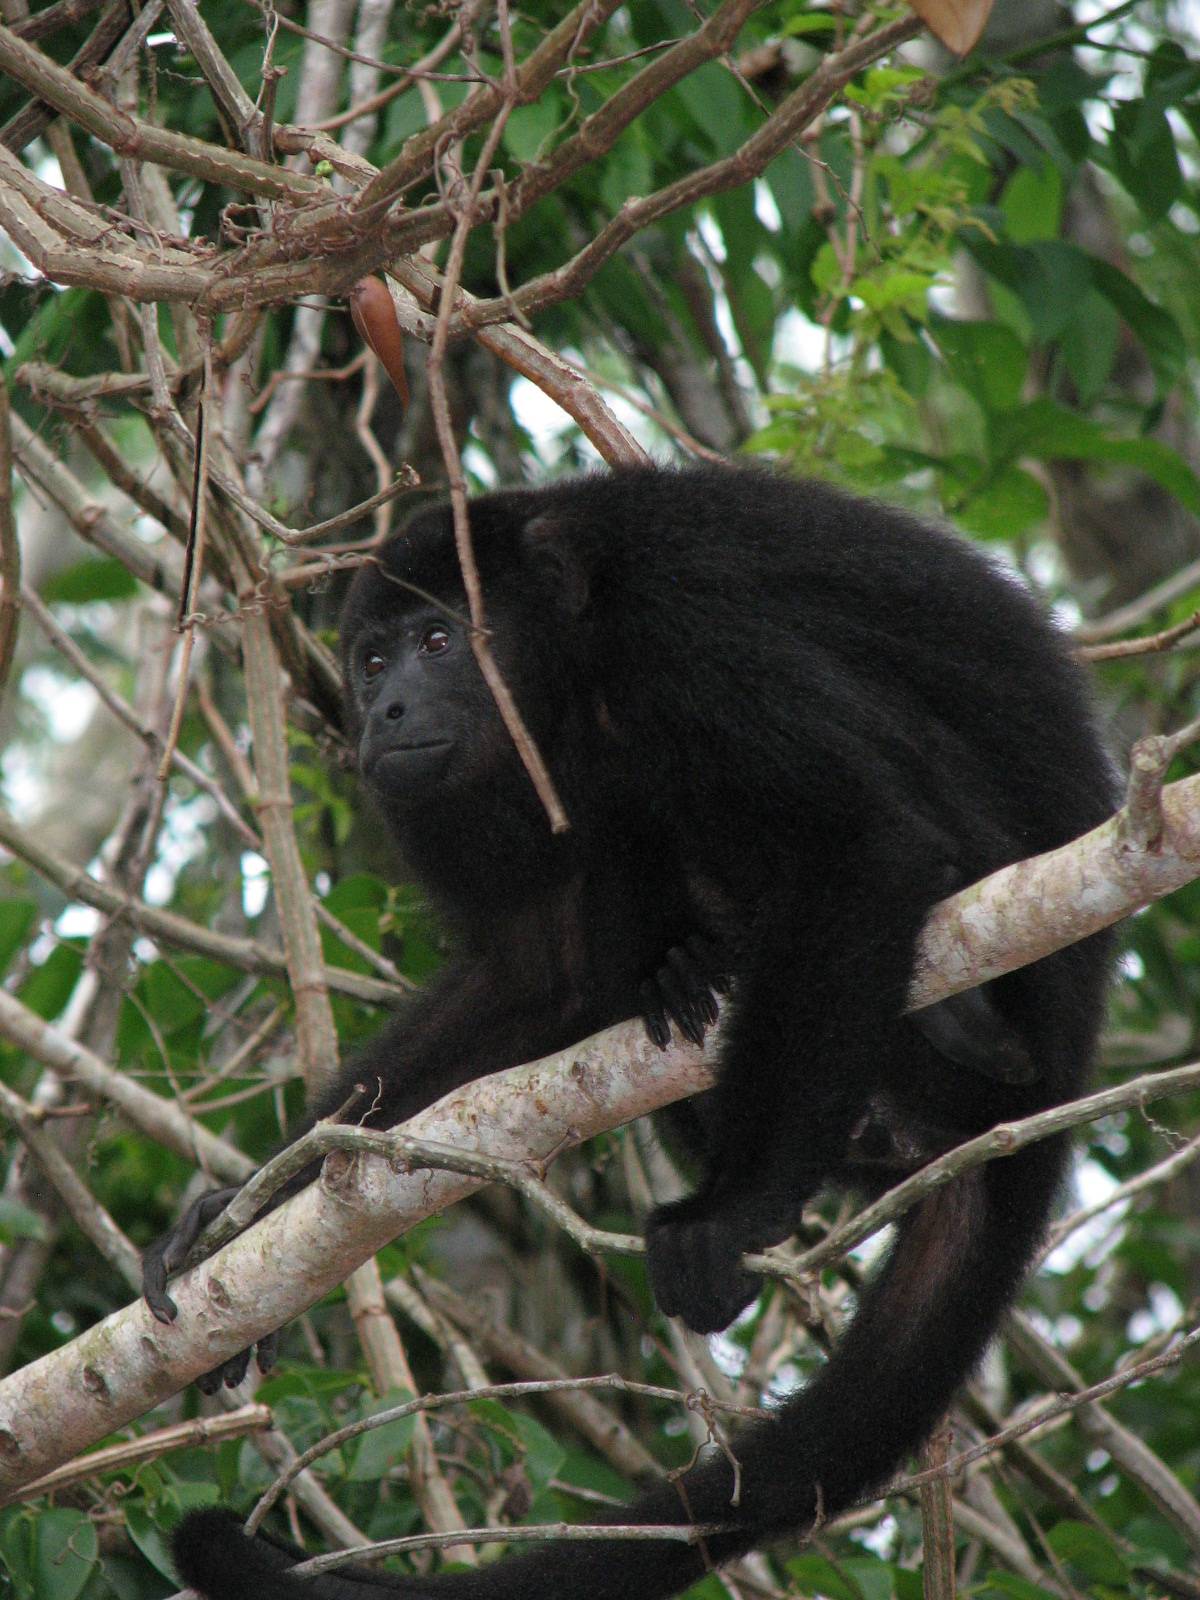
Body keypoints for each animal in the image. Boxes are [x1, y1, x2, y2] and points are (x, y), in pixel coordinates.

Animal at [148, 464, 1120, 1600]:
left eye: (438, 641)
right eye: (371, 657)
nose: (381, 710)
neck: (571, 662)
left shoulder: (686, 632)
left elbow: (860, 842)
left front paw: (733, 1209)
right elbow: (537, 975)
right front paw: (238, 1210)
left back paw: (968, 1028)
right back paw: (690, 978)